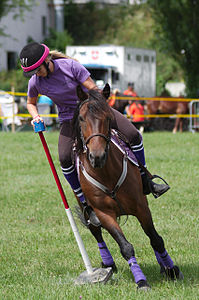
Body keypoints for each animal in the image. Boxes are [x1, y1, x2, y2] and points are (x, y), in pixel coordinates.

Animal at [72, 84, 183, 290]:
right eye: (82, 118)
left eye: (108, 117)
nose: (97, 156)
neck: (106, 173)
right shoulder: (104, 214)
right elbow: (125, 247)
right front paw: (141, 281)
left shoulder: (141, 206)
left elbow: (156, 239)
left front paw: (171, 270)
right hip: (88, 211)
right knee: (96, 233)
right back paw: (107, 264)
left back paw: (163, 265)